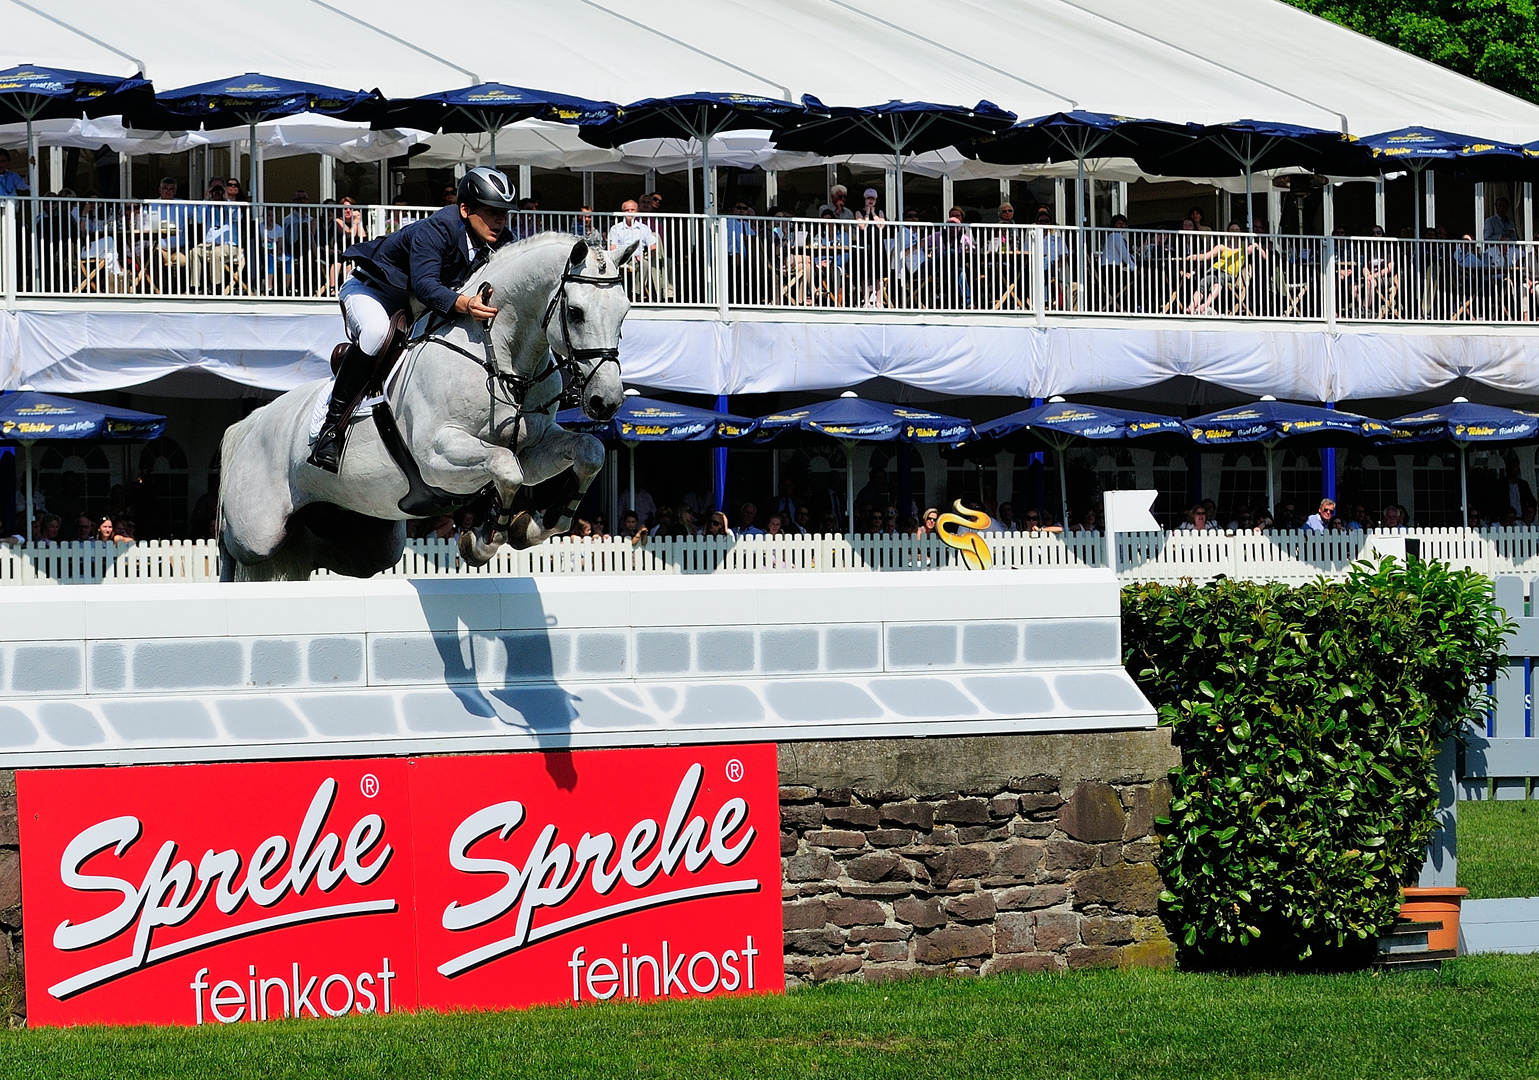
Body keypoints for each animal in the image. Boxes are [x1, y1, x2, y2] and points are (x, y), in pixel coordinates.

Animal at [215, 232, 630, 578]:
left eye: (625, 313)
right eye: (575, 312)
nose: (605, 402)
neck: (499, 354)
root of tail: (248, 424)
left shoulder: (531, 449)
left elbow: (587, 451)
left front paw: (533, 526)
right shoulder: (437, 456)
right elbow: (504, 468)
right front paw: (483, 542)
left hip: (361, 541)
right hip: (257, 532)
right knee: (235, 550)